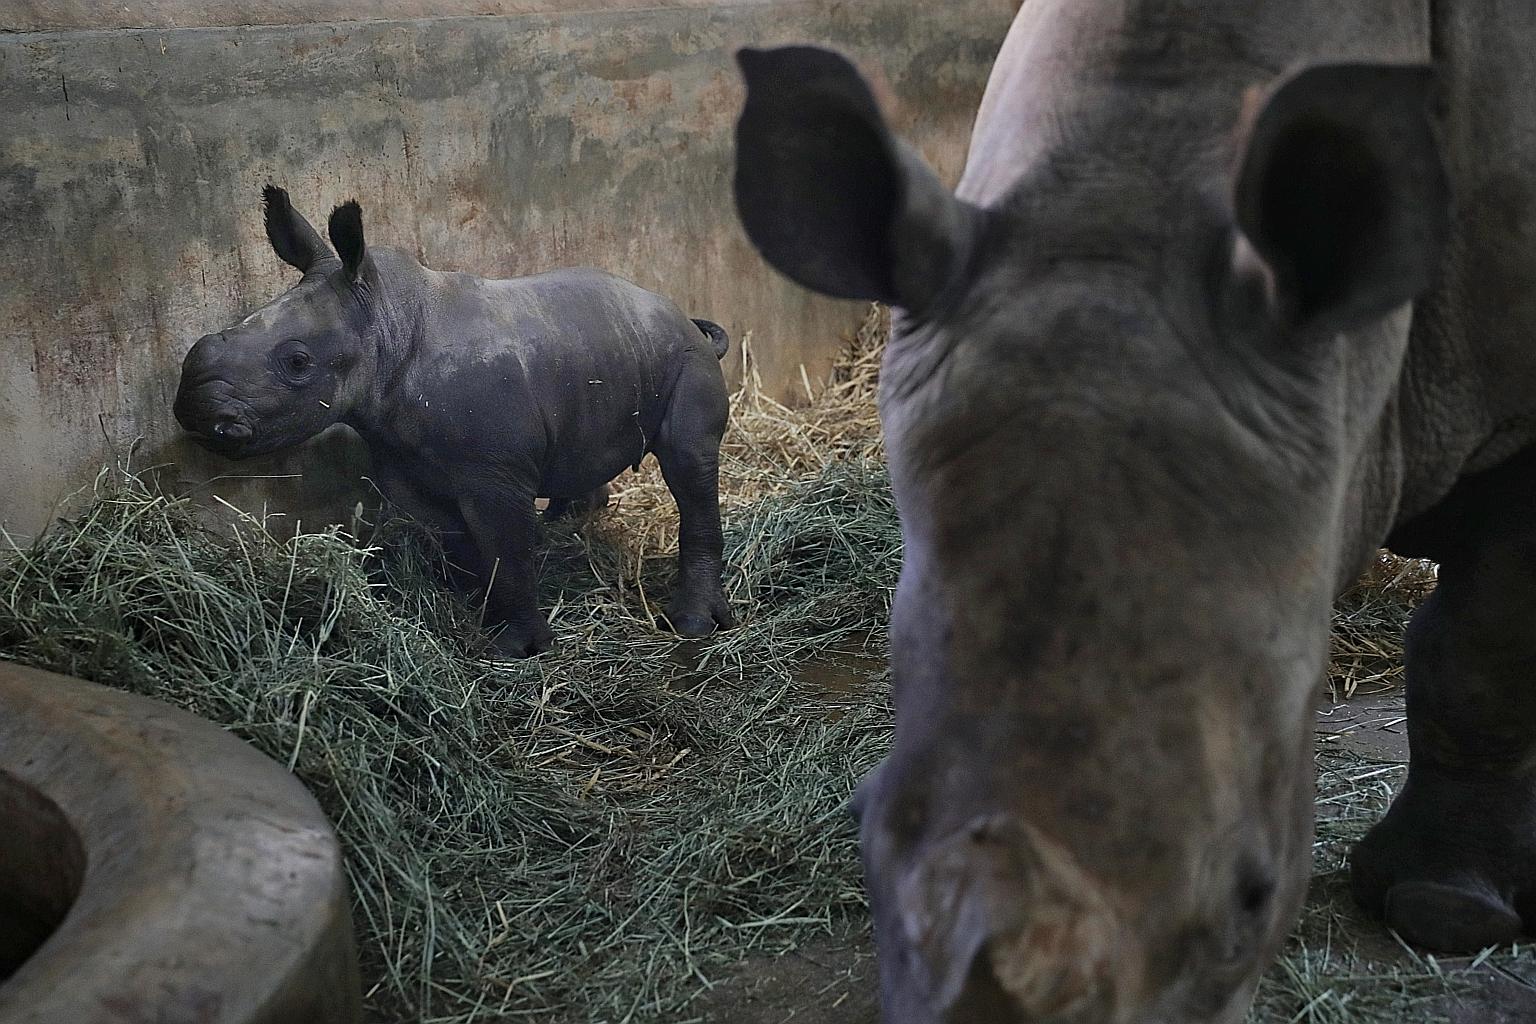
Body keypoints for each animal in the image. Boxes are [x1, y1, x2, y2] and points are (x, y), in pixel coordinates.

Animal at [175, 188, 734, 658]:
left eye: (297, 362)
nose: (194, 409)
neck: (386, 320)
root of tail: (680, 314)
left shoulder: (495, 475)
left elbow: (507, 552)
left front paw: (515, 649)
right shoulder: (406, 462)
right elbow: (466, 547)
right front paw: (479, 611)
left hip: (687, 359)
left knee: (689, 466)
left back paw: (691, 625)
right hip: (607, 347)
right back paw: (569, 524)